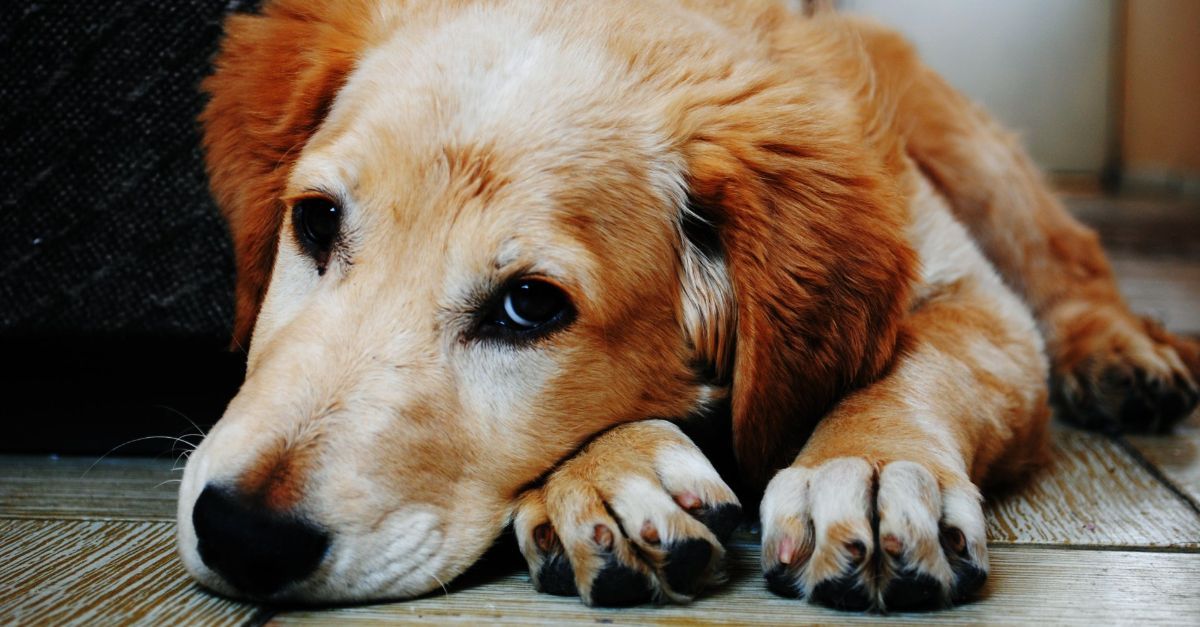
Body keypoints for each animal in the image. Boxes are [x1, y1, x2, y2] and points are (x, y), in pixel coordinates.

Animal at [177, 0, 1200, 607]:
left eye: (529, 306)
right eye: (315, 221)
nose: (241, 532)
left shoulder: (976, 300)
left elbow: (922, 365)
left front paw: (869, 466)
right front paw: (610, 476)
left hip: (973, 154)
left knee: (1071, 260)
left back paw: (1123, 356)